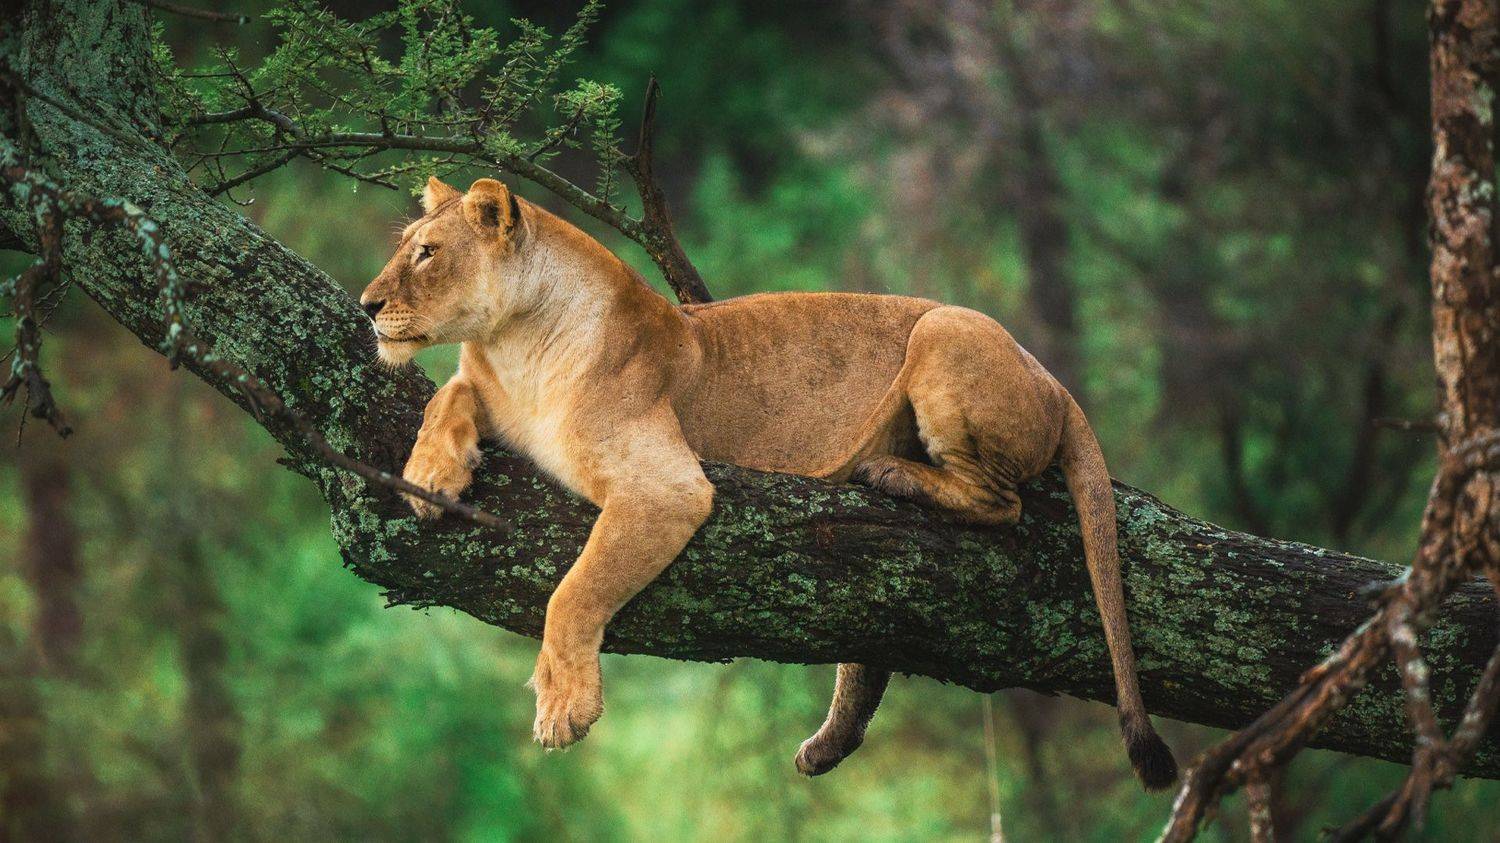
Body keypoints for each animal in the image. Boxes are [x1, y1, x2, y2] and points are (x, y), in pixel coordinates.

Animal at [359, 176, 1178, 790]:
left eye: (427, 253)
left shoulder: (667, 485)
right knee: (872, 648)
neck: (515, 346)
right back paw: (827, 744)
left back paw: (894, 473)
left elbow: (576, 588)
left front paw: (564, 706)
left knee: (1001, 502)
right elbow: (446, 396)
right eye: (404, 246)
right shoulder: (483, 386)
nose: (367, 307)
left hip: (943, 329)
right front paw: (429, 472)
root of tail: (1054, 379)